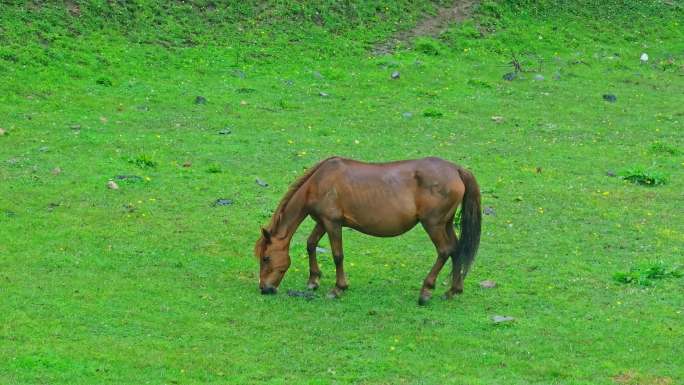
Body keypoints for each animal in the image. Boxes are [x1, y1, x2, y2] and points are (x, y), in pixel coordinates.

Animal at [254, 156, 484, 304]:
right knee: (456, 250)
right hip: (445, 224)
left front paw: (338, 288)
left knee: (444, 251)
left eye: (266, 258)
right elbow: (311, 244)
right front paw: (313, 280)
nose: (264, 289)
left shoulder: (332, 223)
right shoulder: (322, 222)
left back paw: (426, 292)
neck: (319, 182)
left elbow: (337, 255)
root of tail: (456, 169)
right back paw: (453, 291)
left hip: (433, 224)